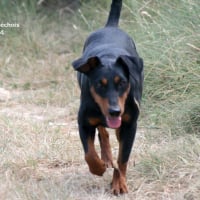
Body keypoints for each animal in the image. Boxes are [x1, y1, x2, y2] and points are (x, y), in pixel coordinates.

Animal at [72, 0, 144, 195]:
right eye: (99, 84)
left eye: (122, 82)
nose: (115, 111)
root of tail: (110, 26)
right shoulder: (84, 122)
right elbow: (89, 153)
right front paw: (98, 168)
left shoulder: (129, 125)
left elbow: (123, 159)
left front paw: (119, 184)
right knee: (102, 131)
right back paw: (105, 158)